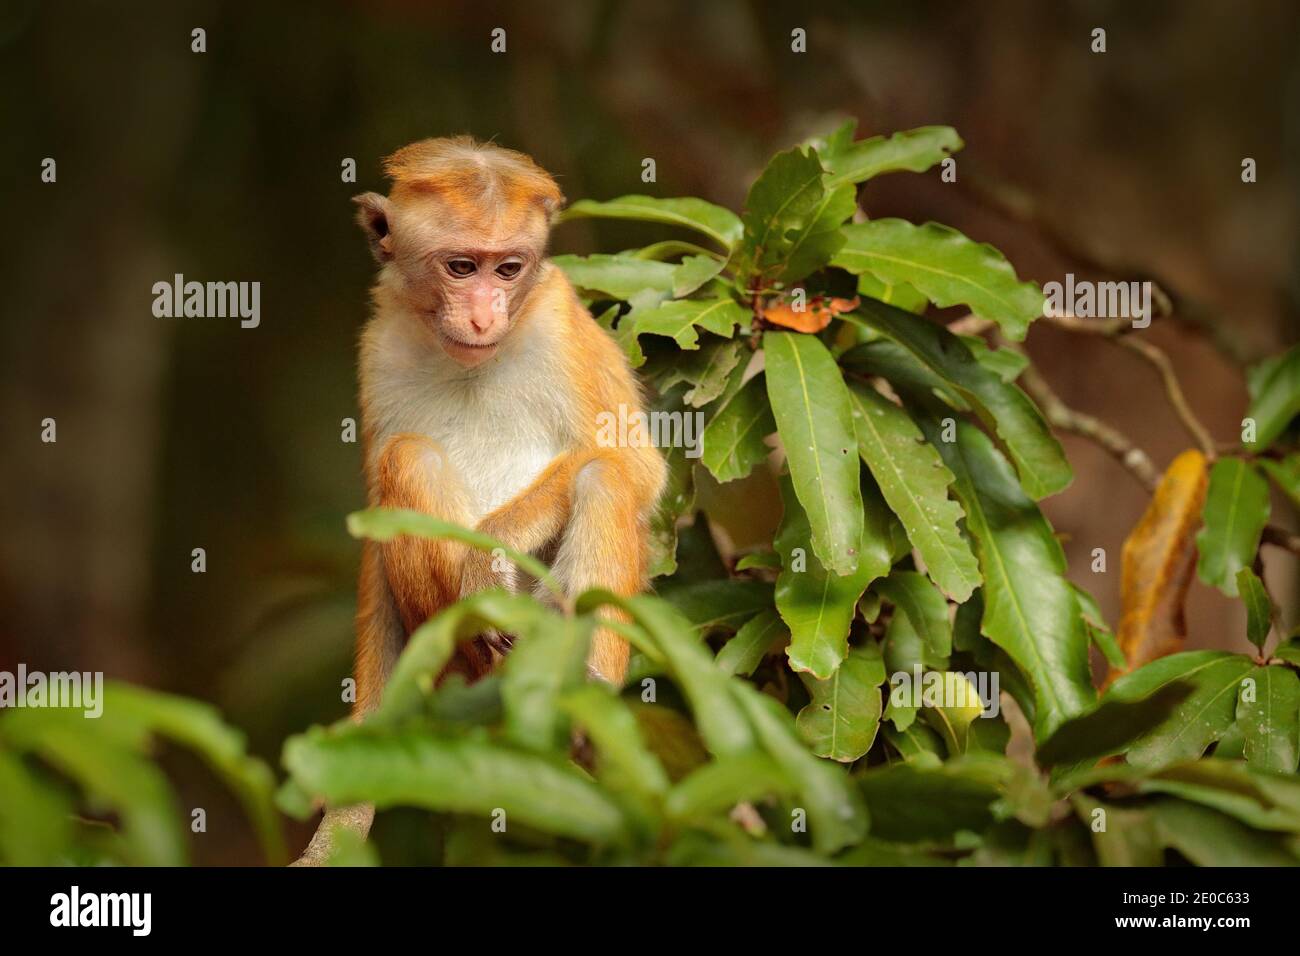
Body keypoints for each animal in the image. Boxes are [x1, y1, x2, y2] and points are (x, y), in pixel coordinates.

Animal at [292, 136, 666, 865]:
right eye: (461, 266)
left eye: (509, 268)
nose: (485, 313)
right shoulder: (379, 346)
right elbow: (377, 519)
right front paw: (348, 805)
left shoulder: (559, 321)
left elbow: (636, 465)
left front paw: (487, 559)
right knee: (409, 455)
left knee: (602, 477)